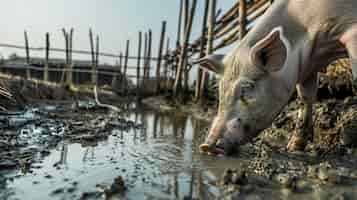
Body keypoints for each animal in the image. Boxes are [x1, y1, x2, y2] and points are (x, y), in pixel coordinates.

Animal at [196, 0, 356, 155]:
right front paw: (292, 148)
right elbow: (305, 97)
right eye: (220, 91)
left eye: (247, 88)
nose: (206, 146)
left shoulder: (351, 32)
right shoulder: (309, 66)